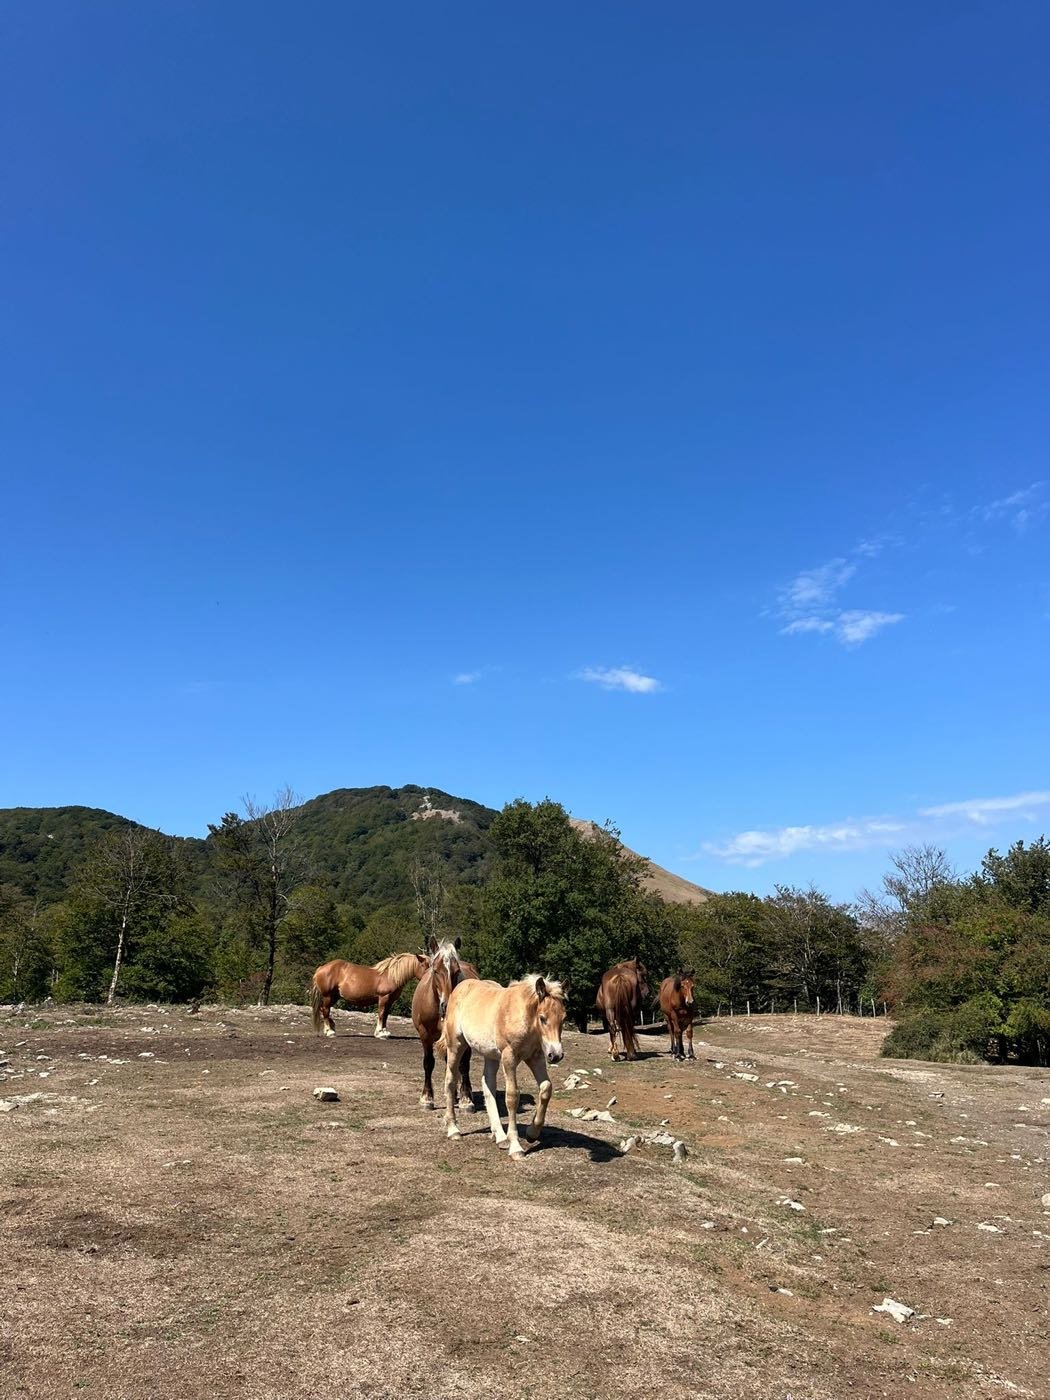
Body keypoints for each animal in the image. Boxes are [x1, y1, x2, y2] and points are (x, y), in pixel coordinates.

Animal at [411, 938, 479, 1111]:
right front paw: (427, 1098)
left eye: (456, 971)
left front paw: (466, 1099)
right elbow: (428, 1063)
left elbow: (464, 1065)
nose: (447, 1005)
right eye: (435, 971)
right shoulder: (424, 1035)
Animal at [442, 974, 567, 1160]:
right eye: (543, 1018)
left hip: (491, 1055)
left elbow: (546, 1088)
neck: (523, 1017)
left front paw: (532, 1133)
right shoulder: (509, 1058)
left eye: (563, 1019)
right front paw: (516, 1147)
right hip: (456, 1046)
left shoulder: (535, 1057)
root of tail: (460, 987)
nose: (556, 1055)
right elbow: (512, 1096)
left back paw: (500, 1136)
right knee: (450, 1081)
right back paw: (453, 1130)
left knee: (488, 1085)